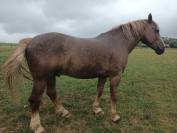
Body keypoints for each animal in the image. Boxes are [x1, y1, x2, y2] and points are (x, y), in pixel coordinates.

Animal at [2, 14, 165, 132]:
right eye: (156, 30)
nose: (162, 49)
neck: (117, 43)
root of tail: (30, 41)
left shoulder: (102, 76)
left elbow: (99, 91)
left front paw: (97, 110)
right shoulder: (115, 76)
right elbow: (113, 96)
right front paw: (114, 116)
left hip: (51, 76)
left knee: (52, 93)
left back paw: (63, 112)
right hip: (40, 79)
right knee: (34, 100)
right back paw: (37, 126)